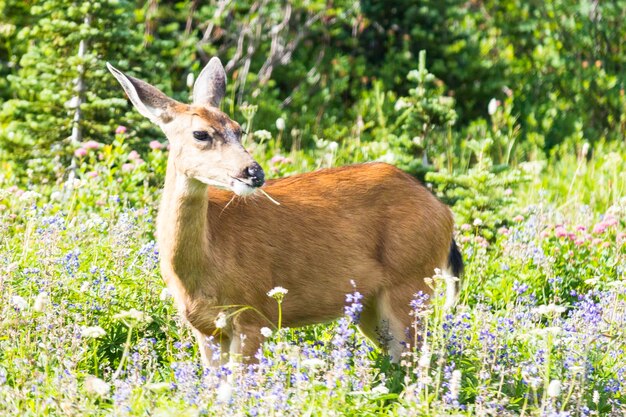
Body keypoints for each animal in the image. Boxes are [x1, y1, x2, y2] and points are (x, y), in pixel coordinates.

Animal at [107, 56, 460, 364]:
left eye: (239, 128)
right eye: (200, 133)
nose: (253, 172)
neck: (206, 262)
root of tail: (444, 212)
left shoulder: (253, 314)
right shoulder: (206, 329)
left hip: (410, 282)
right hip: (371, 304)